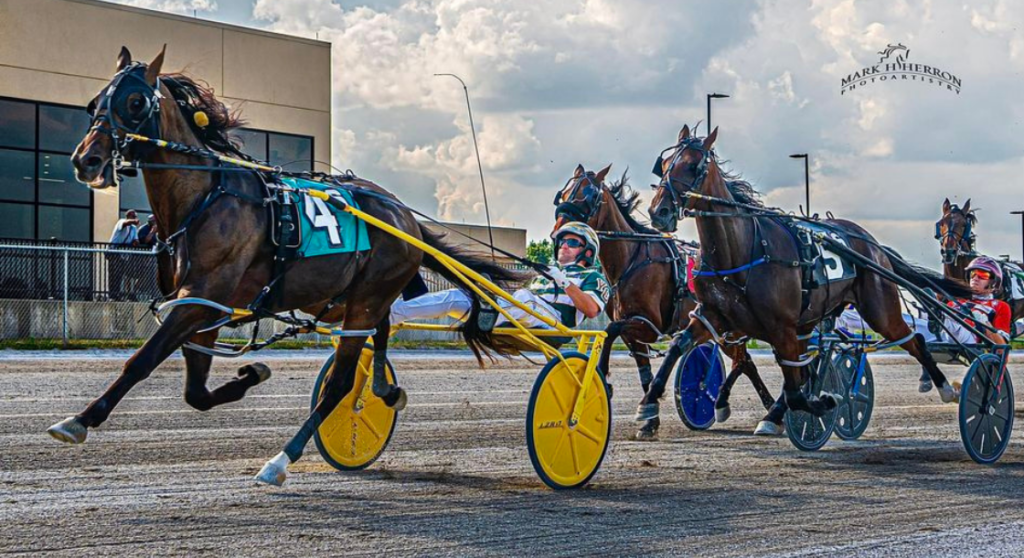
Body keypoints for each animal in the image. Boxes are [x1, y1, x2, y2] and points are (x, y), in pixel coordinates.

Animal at [47, 45, 520, 483]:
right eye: (94, 102)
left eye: (135, 102)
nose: (85, 160)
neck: (204, 198)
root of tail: (404, 216)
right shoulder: (207, 308)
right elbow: (196, 393)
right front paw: (252, 372)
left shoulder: (199, 299)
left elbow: (142, 361)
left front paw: (79, 420)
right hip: (344, 297)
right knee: (381, 330)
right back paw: (385, 388)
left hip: (365, 297)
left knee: (341, 382)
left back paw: (281, 458)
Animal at [548, 162, 770, 438]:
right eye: (564, 194)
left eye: (588, 196)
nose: (558, 233)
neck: (630, 260)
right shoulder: (635, 334)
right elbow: (643, 371)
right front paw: (649, 420)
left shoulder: (648, 324)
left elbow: (610, 330)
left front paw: (606, 380)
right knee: (746, 362)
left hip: (729, 329)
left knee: (744, 361)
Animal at [638, 123, 974, 432]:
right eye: (664, 165)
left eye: (694, 166)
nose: (659, 212)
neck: (741, 251)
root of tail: (872, 244)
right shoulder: (714, 315)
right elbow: (678, 346)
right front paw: (648, 407)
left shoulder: (780, 325)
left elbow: (796, 389)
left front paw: (822, 402)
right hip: (813, 317)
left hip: (879, 309)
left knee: (913, 339)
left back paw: (946, 388)